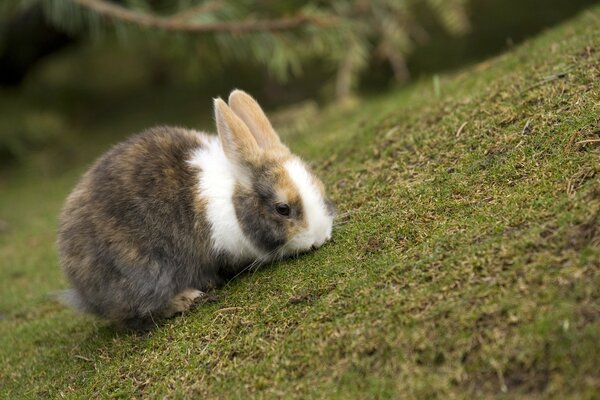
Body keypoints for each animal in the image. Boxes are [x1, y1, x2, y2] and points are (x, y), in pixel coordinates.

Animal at [56, 90, 336, 328]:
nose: (320, 238)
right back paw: (187, 298)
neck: (233, 201)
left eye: (319, 186)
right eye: (282, 209)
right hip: (143, 272)